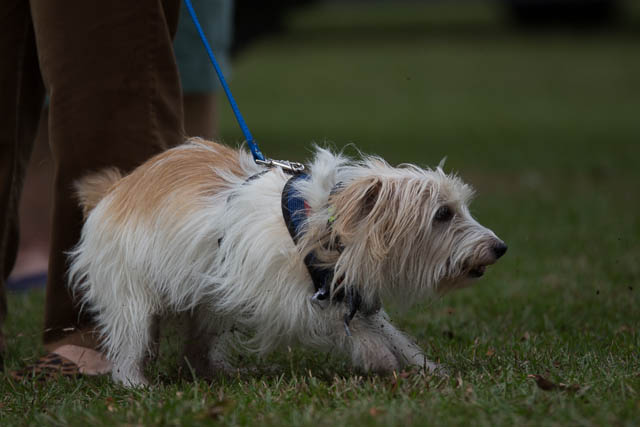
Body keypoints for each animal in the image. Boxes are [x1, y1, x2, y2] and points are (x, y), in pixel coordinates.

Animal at [67, 139, 508, 386]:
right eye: (443, 214)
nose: (500, 247)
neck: (326, 224)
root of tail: (112, 191)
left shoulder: (348, 287)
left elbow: (388, 331)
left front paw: (427, 368)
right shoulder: (278, 296)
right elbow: (336, 320)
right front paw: (376, 355)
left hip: (205, 301)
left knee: (197, 347)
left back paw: (215, 373)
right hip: (130, 297)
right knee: (129, 344)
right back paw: (135, 383)